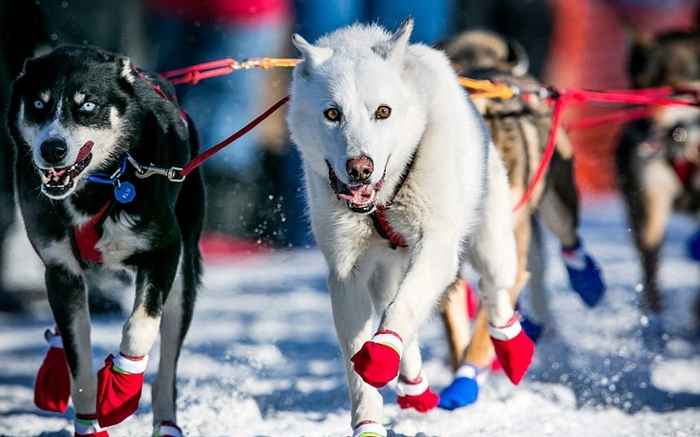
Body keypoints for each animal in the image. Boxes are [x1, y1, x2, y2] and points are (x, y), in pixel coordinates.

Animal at [8, 45, 205, 436]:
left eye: (87, 105)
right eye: (38, 104)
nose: (52, 149)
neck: (97, 188)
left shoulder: (163, 253)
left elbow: (140, 327)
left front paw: (119, 388)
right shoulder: (61, 270)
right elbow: (79, 360)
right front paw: (89, 424)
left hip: (182, 280)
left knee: (167, 367)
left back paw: (166, 422)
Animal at [438, 30, 608, 408]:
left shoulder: (506, 260)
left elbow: (483, 334)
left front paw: (466, 380)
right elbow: (455, 329)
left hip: (554, 200)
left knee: (567, 239)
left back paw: (586, 280)